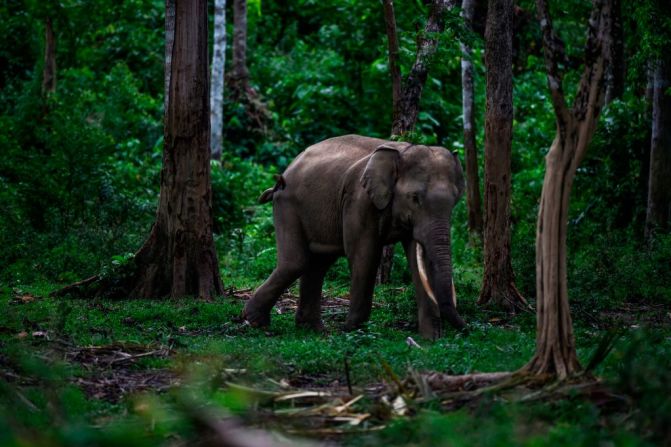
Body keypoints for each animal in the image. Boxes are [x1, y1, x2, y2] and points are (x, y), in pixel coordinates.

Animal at [243, 135, 468, 338]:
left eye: (455, 200)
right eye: (415, 198)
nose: (467, 329)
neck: (402, 152)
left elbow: (417, 260)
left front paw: (431, 340)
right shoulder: (359, 200)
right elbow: (365, 256)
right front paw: (352, 331)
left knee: (317, 264)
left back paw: (312, 330)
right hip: (288, 205)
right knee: (296, 262)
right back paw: (255, 322)